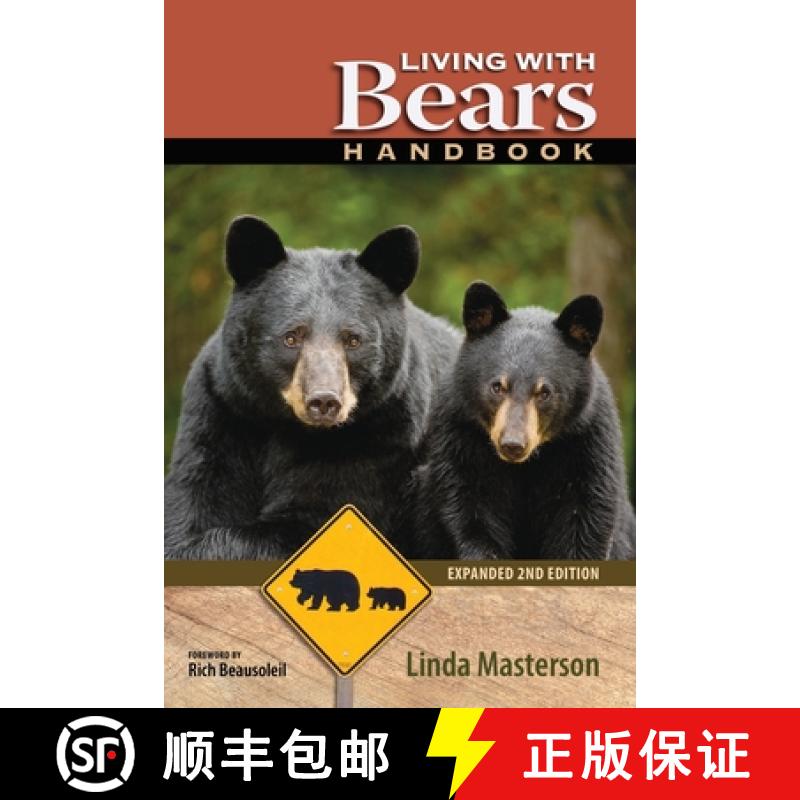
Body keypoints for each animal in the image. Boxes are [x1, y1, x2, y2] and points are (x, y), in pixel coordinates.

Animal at [164, 216, 460, 559]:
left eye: (353, 339)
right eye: (291, 336)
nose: (324, 401)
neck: (287, 426)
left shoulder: (382, 438)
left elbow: (318, 520)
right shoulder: (224, 410)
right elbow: (198, 498)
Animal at [414, 281, 635, 560]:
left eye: (544, 392)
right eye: (497, 386)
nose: (513, 444)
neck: (526, 465)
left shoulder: (586, 443)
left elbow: (584, 519)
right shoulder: (462, 435)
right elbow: (471, 507)